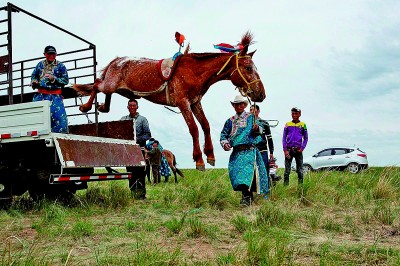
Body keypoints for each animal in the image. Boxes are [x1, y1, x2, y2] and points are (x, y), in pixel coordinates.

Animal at [72, 31, 266, 169]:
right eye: (248, 68)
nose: (261, 95)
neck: (194, 71)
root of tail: (117, 60)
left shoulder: (195, 102)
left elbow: (205, 125)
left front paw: (210, 155)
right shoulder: (183, 103)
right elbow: (194, 129)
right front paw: (199, 160)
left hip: (118, 89)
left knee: (103, 92)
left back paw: (102, 107)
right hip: (110, 84)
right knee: (96, 84)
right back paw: (85, 106)